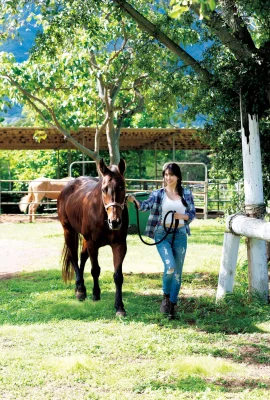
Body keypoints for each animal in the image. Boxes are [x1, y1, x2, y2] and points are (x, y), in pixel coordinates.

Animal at [57, 158, 129, 318]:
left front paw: (119, 307)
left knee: (82, 257)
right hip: (69, 231)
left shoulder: (119, 244)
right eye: (104, 189)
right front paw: (95, 294)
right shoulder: (92, 244)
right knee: (74, 257)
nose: (115, 222)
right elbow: (95, 269)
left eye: (122, 187)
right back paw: (80, 290)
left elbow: (118, 276)